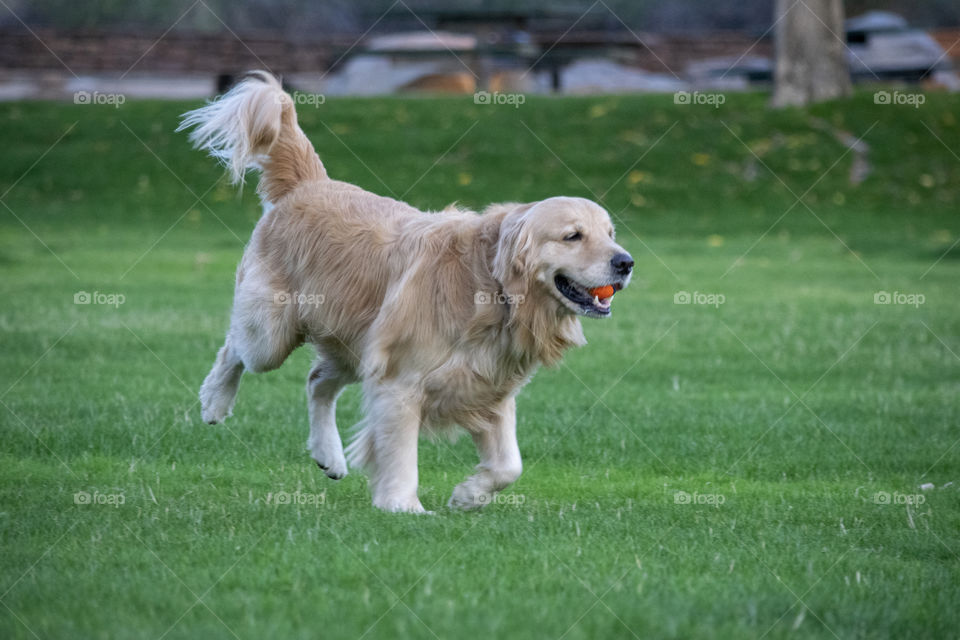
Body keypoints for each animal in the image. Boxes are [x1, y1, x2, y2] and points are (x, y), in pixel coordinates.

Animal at [180, 70, 632, 512]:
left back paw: (329, 455)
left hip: (352, 343)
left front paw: (468, 495)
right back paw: (215, 401)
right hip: (272, 335)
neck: (491, 288)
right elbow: (400, 455)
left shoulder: (489, 389)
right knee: (235, 349)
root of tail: (308, 184)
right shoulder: (400, 384)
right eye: (573, 236)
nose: (626, 262)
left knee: (316, 379)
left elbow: (509, 465)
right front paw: (404, 507)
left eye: (610, 234)